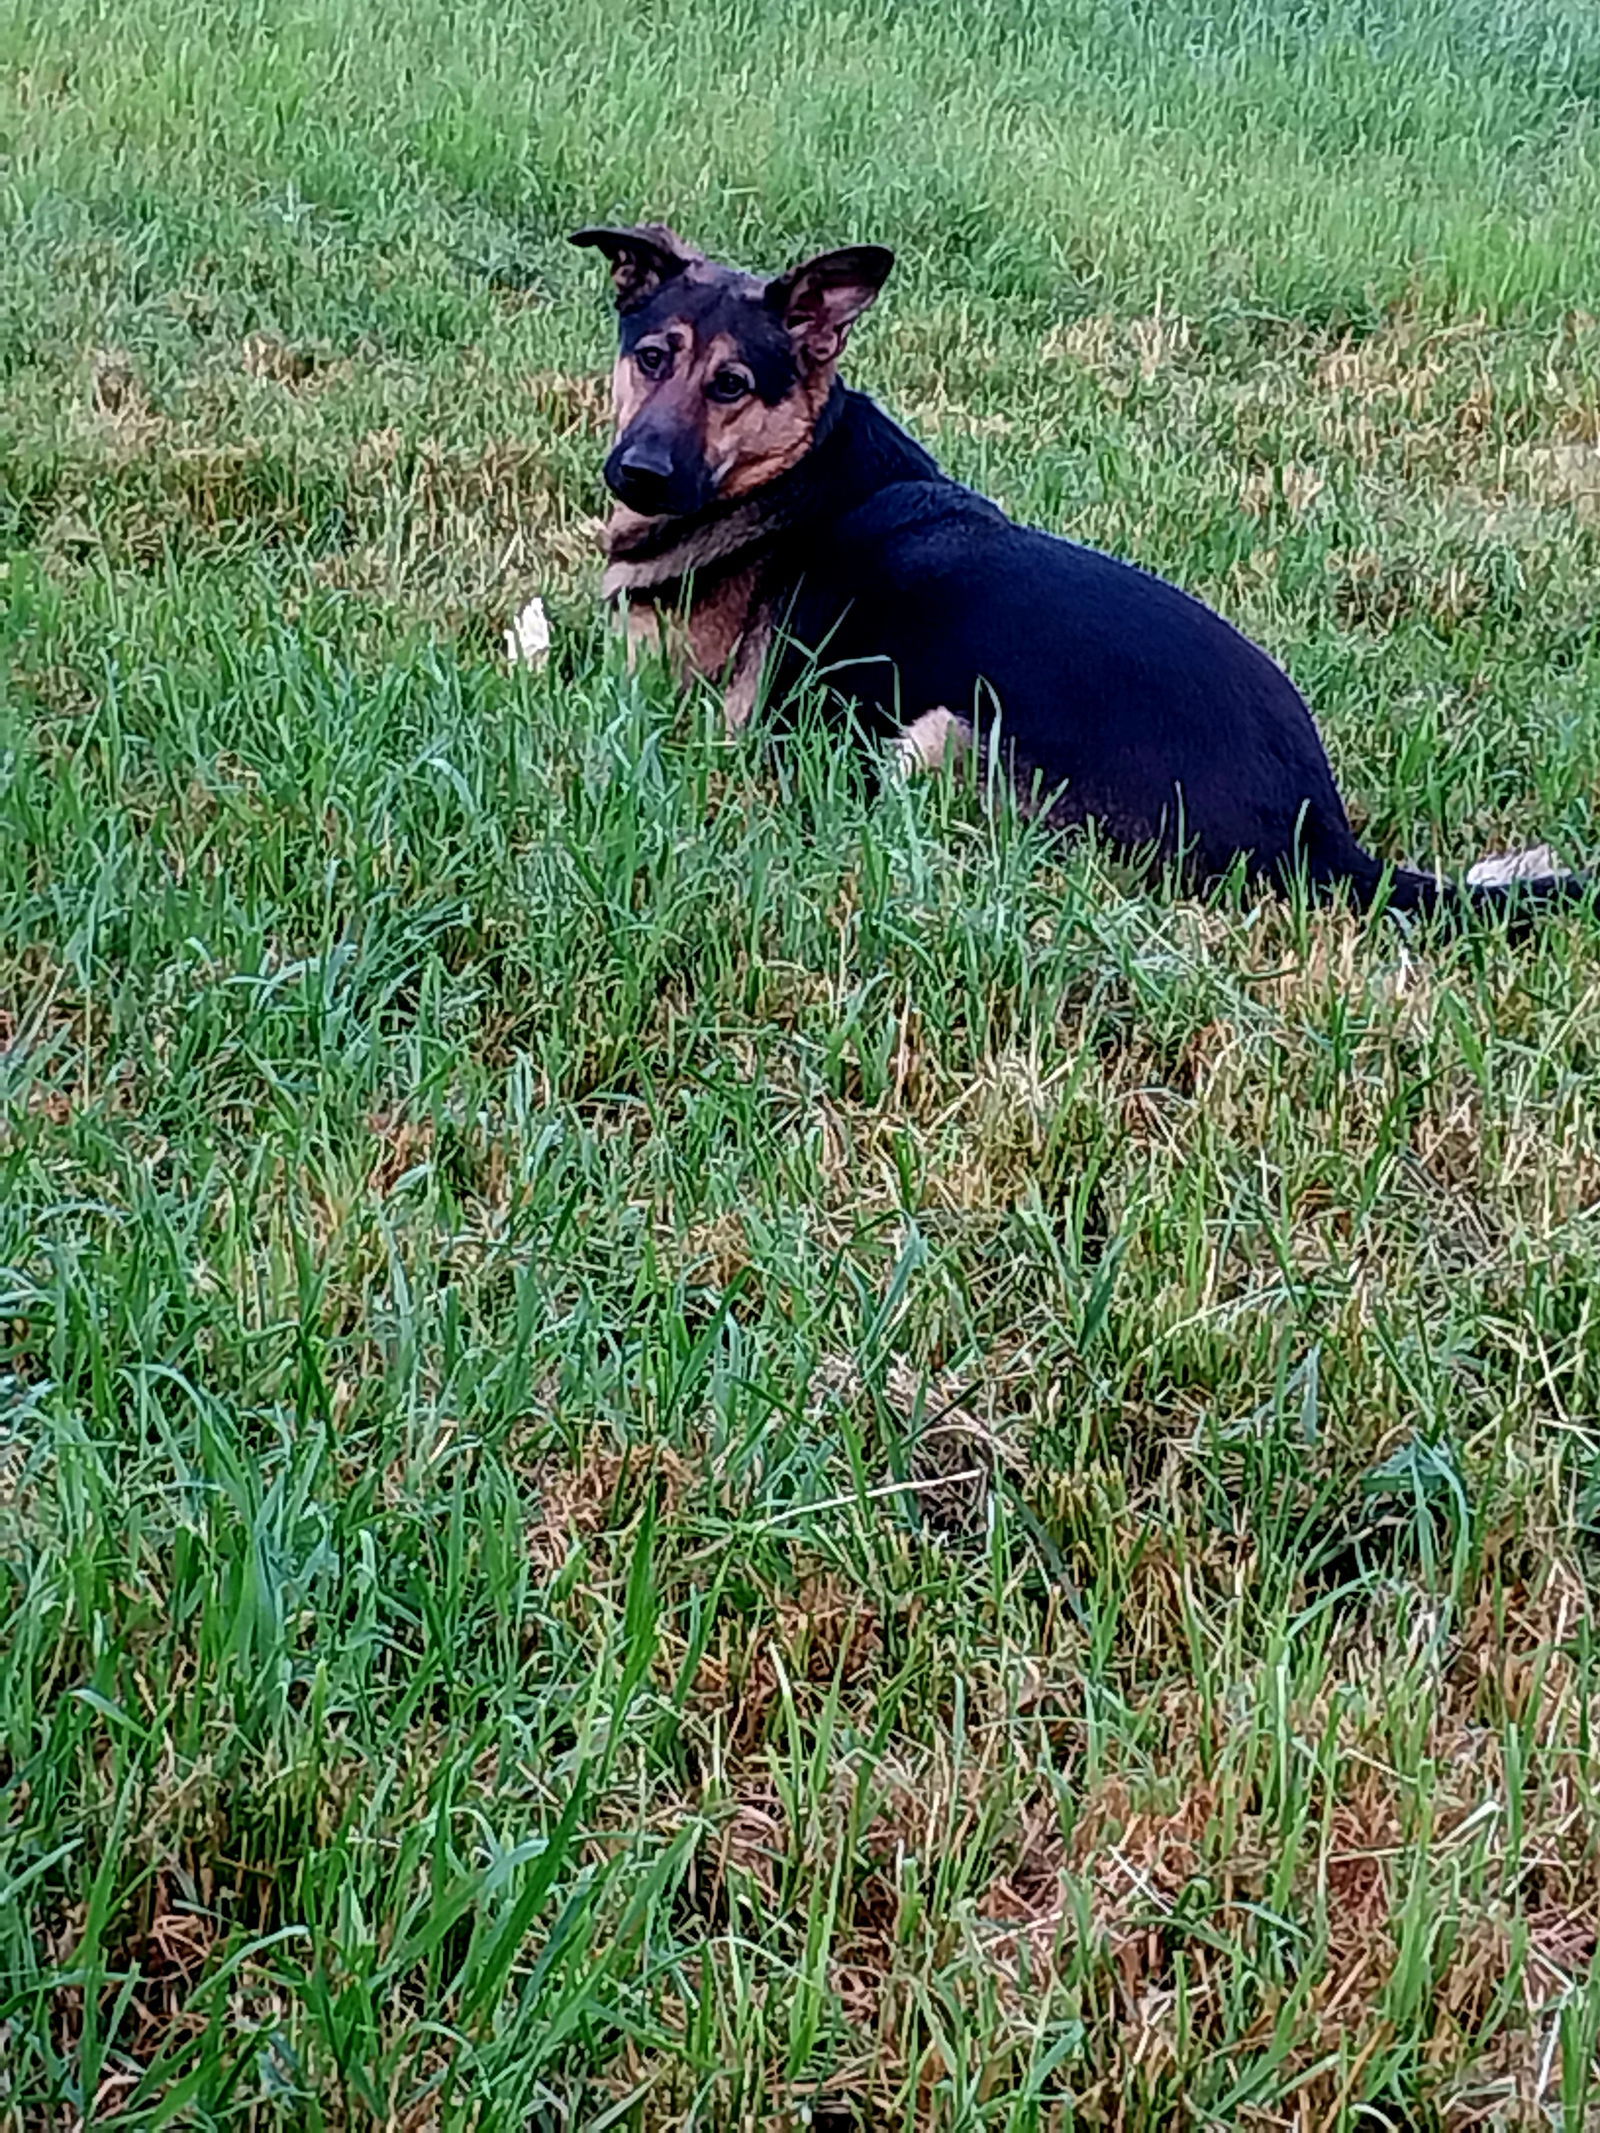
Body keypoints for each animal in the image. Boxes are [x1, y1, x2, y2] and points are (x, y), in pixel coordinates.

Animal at [571, 220, 1578, 921]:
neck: (790, 469)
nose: (639, 474)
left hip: (934, 734)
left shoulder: (682, 704)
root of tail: (1317, 833)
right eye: (652, 358)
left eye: (732, 385)